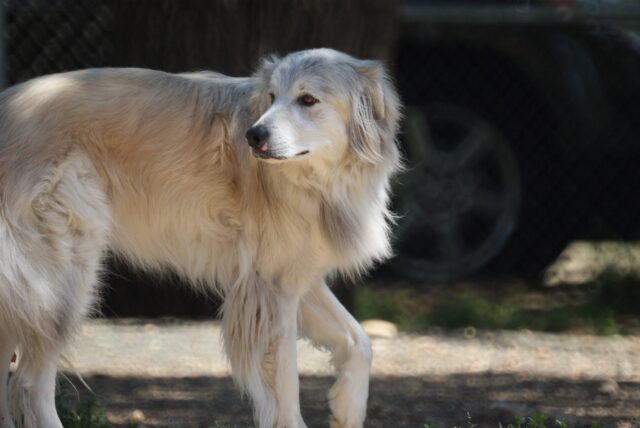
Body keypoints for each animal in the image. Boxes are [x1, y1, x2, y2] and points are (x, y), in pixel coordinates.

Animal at [0, 47, 400, 428]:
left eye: (307, 99)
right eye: (271, 97)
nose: (253, 136)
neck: (319, 181)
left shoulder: (295, 279)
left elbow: (360, 342)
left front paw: (346, 409)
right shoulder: (271, 291)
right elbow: (287, 386)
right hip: (65, 280)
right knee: (29, 384)